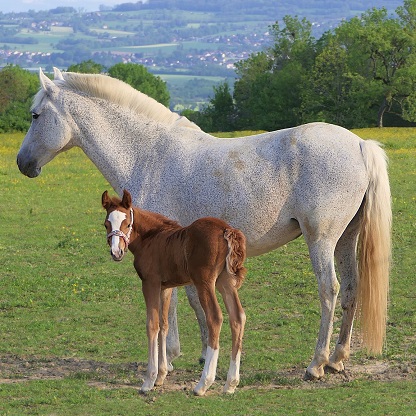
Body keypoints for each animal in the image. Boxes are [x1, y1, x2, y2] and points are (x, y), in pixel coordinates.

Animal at [102, 190, 247, 394]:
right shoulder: (166, 287)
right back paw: (230, 384)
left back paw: (203, 384)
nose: (116, 252)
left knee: (215, 318)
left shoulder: (150, 283)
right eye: (106, 224)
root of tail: (226, 229)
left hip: (205, 282)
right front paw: (161, 375)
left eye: (127, 224)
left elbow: (152, 325)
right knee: (238, 317)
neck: (151, 239)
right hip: (225, 281)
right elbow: (164, 324)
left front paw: (149, 380)